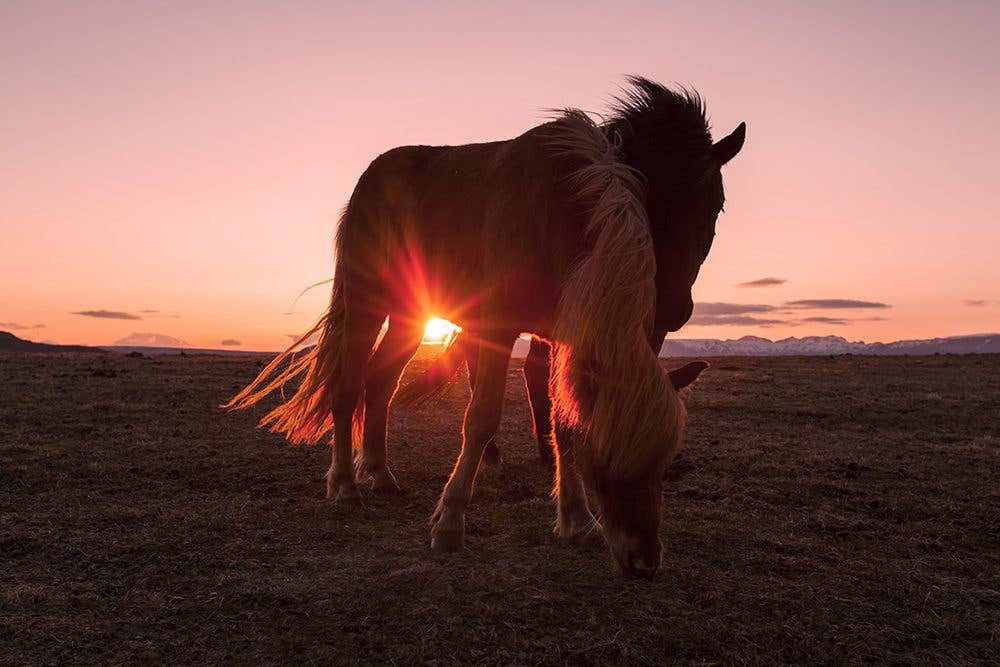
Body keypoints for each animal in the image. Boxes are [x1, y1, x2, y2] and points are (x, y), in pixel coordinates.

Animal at [225, 77, 745, 577]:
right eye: (607, 457)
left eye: (716, 204)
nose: (645, 561)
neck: (561, 209)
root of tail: (371, 175)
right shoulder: (498, 328)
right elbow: (480, 417)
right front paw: (450, 521)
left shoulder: (559, 336)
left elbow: (562, 421)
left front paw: (577, 520)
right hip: (367, 299)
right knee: (349, 384)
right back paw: (346, 485)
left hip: (411, 314)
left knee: (381, 381)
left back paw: (379, 472)